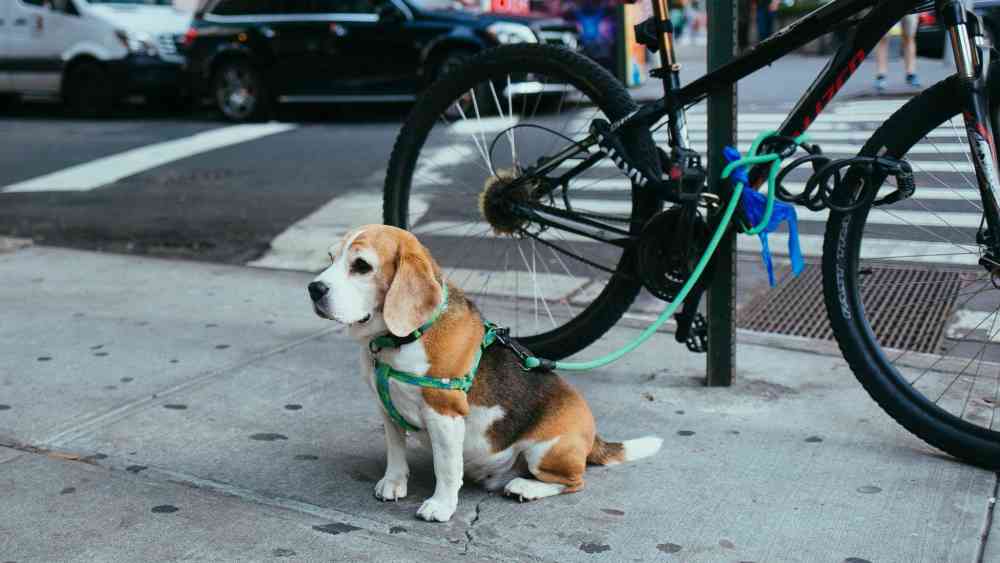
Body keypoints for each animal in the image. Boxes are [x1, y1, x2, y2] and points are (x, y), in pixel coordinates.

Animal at [308, 226, 660, 524]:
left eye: (362, 266)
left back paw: (526, 487)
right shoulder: (386, 408)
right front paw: (394, 483)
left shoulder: (445, 415)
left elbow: (447, 467)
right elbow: (395, 451)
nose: (314, 289)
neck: (401, 339)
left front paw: (441, 505)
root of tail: (593, 435)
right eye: (331, 257)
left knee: (575, 481)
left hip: (546, 450)